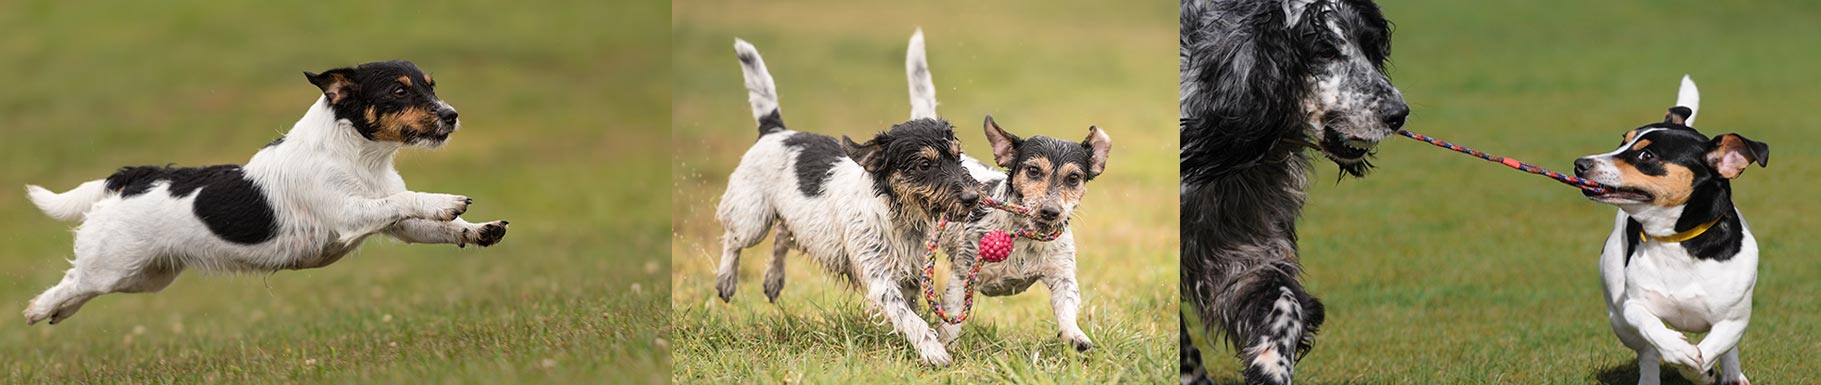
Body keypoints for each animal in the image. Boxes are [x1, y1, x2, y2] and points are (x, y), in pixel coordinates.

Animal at [710, 39, 983, 366]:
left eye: (957, 156)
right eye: (924, 165)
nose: (973, 198)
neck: (896, 215)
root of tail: (775, 131)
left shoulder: (910, 274)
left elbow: (911, 310)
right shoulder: (880, 278)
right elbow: (908, 317)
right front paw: (933, 351)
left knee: (783, 236)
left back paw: (773, 279)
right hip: (752, 220)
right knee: (734, 239)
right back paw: (727, 280)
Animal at [1180, 1, 1405, 383]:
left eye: (1370, 45)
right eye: (1324, 50)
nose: (1399, 113)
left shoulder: (1241, 248)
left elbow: (1286, 302)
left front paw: (1270, 366)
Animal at [1573, 75, 1770, 385]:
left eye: (1646, 155)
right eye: (1622, 141)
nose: (1579, 164)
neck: (1675, 240)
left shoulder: (1734, 320)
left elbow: (1715, 348)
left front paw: (1702, 370)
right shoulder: (1632, 306)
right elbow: (1653, 330)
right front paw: (1681, 352)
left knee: (1728, 351)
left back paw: (1731, 375)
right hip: (1618, 318)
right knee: (1647, 352)